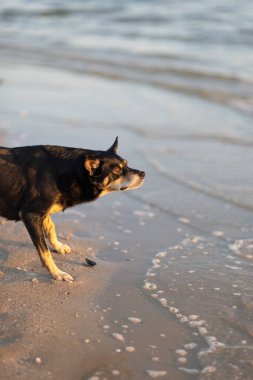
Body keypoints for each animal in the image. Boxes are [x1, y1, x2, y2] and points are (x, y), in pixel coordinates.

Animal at [0, 138, 144, 280]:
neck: (66, 172)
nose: (143, 173)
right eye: (117, 170)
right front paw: (57, 273)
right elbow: (45, 250)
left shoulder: (42, 213)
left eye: (126, 164)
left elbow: (51, 227)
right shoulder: (30, 215)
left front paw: (58, 246)